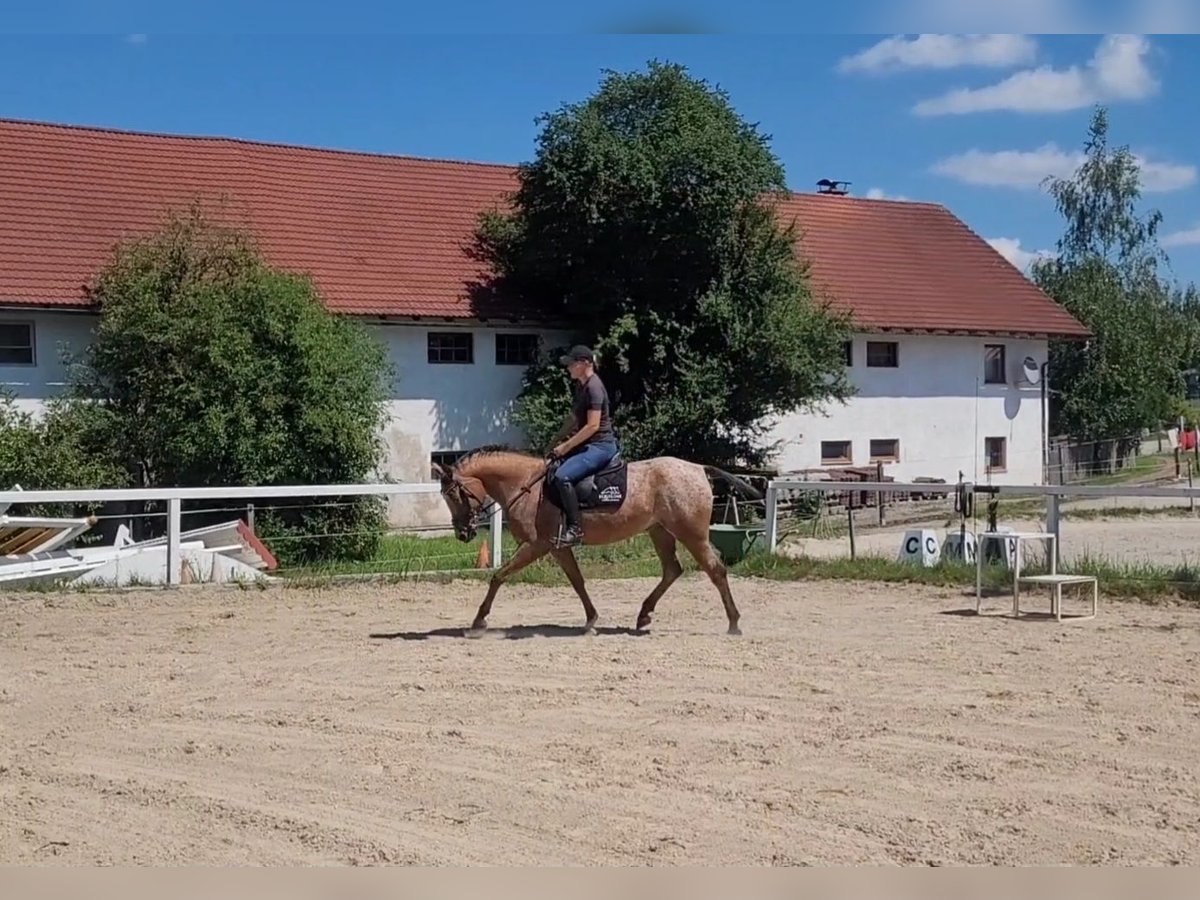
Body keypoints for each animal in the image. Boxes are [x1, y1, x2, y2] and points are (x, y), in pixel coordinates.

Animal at [436, 448, 763, 638]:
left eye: (453, 495)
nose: (462, 533)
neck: (527, 485)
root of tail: (698, 469)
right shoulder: (558, 546)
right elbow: (578, 581)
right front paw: (591, 620)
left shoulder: (535, 545)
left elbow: (498, 576)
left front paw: (478, 622)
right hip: (660, 531)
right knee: (672, 570)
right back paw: (643, 615)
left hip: (691, 534)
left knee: (715, 570)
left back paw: (734, 624)